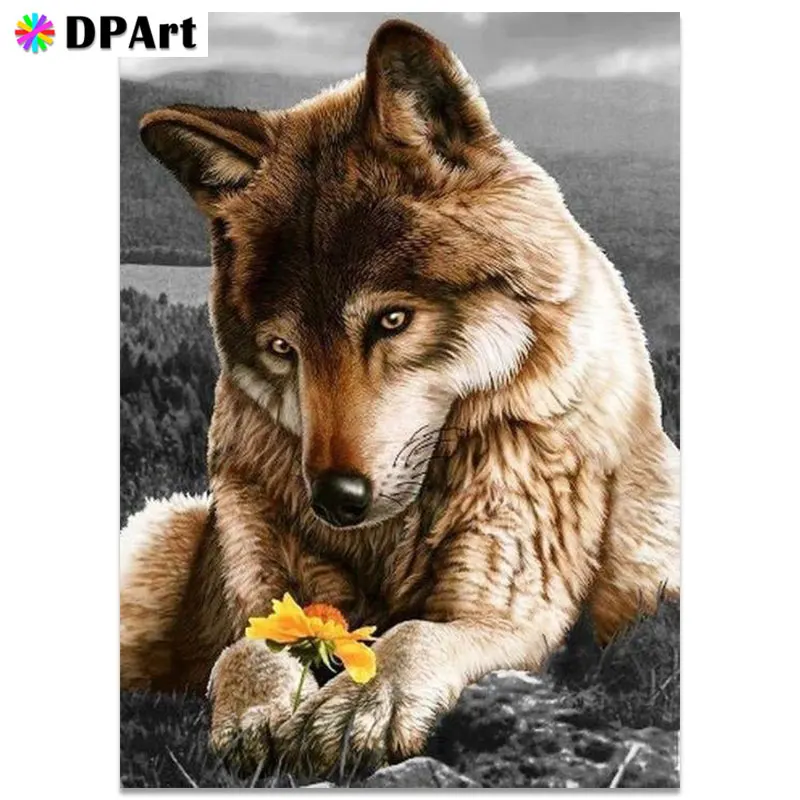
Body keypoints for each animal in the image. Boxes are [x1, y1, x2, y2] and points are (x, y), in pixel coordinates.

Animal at [121, 20, 680, 775]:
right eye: (282, 348)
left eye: (391, 320)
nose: (334, 500)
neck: (390, 539)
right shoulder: (265, 583)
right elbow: (248, 644)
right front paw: (259, 711)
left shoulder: (507, 609)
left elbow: (412, 634)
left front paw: (363, 703)